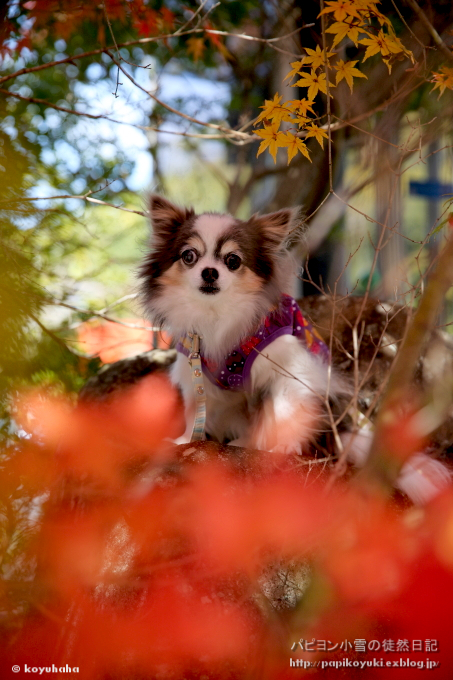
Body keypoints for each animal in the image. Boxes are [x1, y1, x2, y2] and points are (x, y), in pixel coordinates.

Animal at [139, 194, 450, 502]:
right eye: (189, 256)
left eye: (233, 260)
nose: (210, 272)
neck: (217, 315)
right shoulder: (196, 371)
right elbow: (195, 412)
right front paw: (184, 440)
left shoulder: (289, 372)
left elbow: (281, 410)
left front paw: (279, 448)